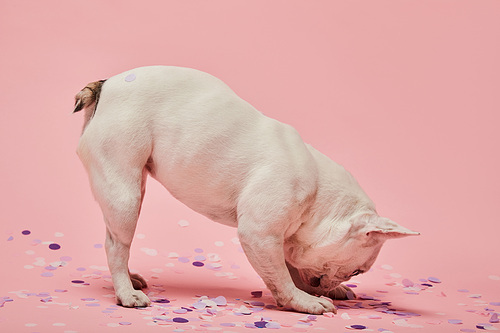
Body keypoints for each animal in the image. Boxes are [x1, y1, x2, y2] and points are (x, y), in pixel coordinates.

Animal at [74, 65, 418, 314]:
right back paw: (126, 293)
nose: (341, 280)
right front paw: (304, 302)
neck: (319, 197)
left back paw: (130, 279)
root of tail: (107, 85)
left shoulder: (280, 240)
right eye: (357, 271)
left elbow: (290, 269)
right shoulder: (260, 235)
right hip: (125, 194)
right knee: (116, 245)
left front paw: (323, 291)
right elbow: (281, 277)